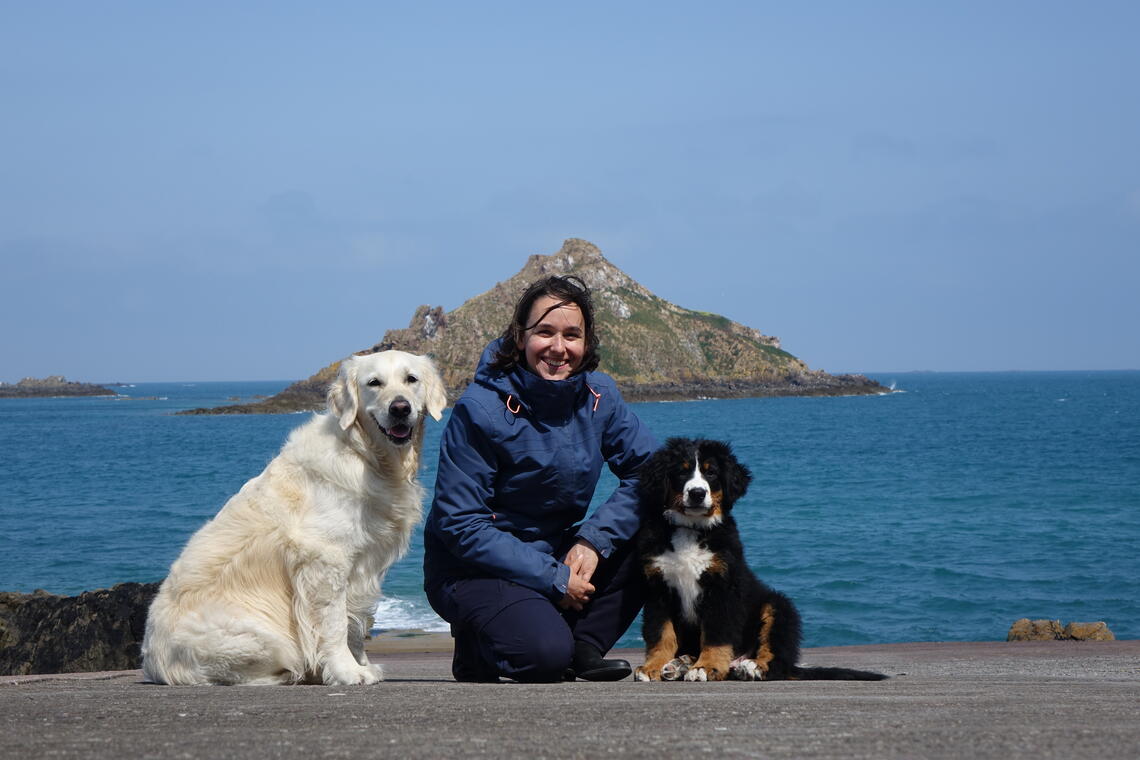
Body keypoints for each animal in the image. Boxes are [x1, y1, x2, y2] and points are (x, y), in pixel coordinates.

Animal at [638, 439, 884, 683]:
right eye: (682, 472)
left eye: (712, 473)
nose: (697, 493)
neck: (691, 529)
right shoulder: (658, 589)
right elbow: (661, 634)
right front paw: (653, 666)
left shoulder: (723, 588)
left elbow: (716, 634)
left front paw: (706, 667)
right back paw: (679, 664)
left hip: (778, 607)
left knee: (776, 659)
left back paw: (750, 668)